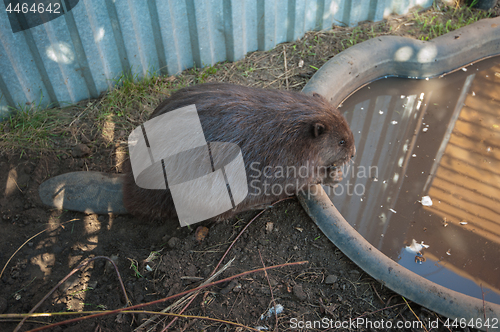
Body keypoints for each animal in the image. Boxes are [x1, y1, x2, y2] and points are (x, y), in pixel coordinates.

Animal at [122, 82, 356, 222]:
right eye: (341, 141)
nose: (353, 153)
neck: (293, 127)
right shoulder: (288, 160)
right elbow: (301, 179)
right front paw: (333, 175)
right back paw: (259, 205)